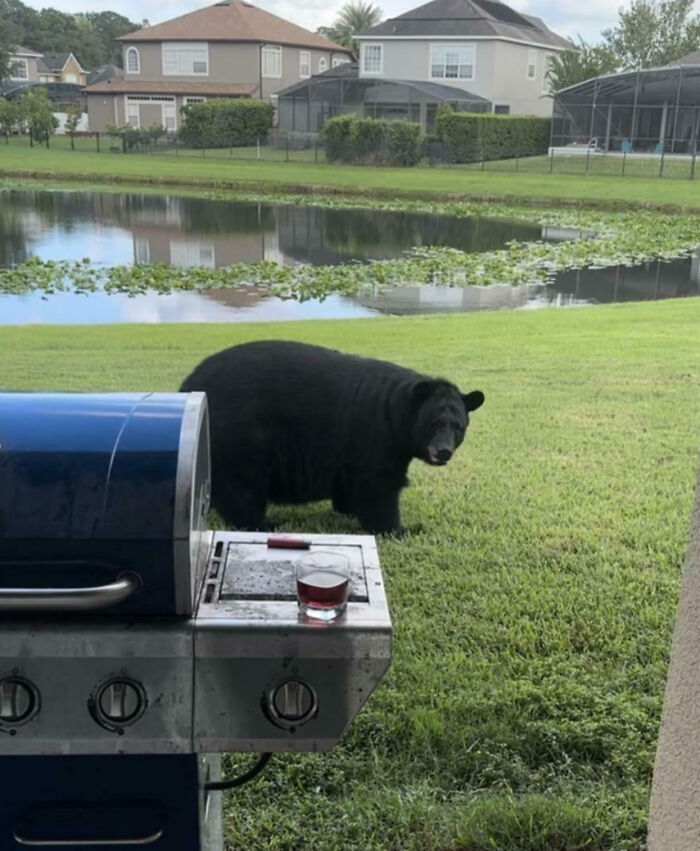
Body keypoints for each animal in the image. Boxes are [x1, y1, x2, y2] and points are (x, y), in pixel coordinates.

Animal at [180, 340, 484, 536]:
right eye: (434, 424)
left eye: (458, 427)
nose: (443, 451)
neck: (397, 412)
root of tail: (188, 385)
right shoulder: (376, 437)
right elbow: (379, 486)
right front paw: (401, 528)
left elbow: (352, 482)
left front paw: (347, 508)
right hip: (242, 433)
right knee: (240, 485)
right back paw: (263, 522)